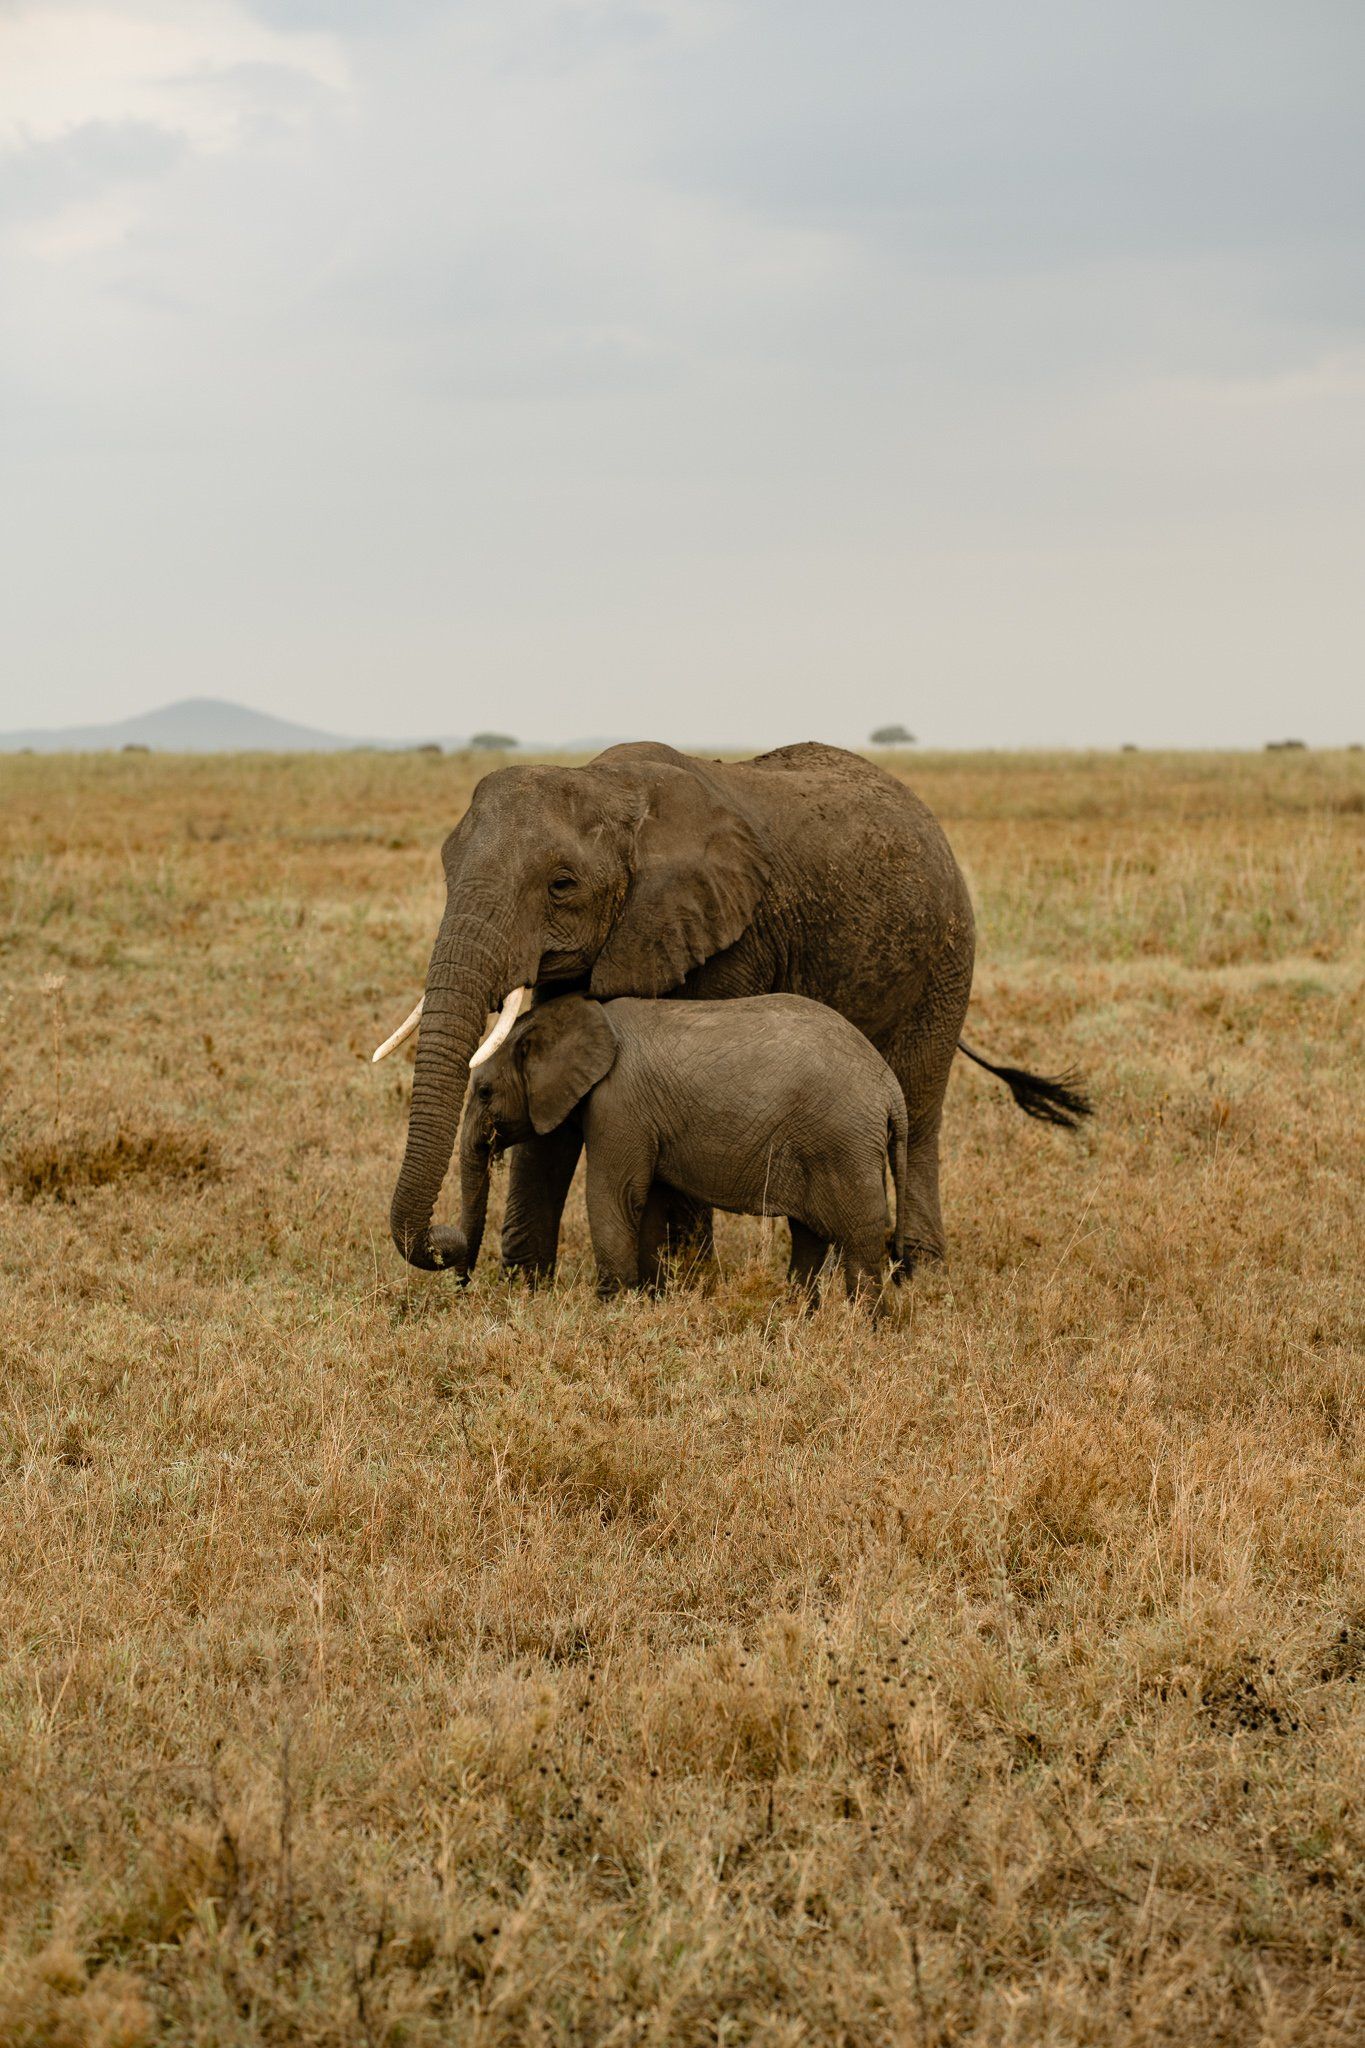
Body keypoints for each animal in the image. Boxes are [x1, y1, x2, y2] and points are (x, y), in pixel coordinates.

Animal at [445, 992, 911, 1304]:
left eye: (484, 1091)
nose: (462, 1283)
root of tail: (890, 1088)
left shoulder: (619, 1104)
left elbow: (613, 1197)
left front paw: (611, 1310)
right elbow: (650, 1203)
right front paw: (650, 1302)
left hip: (843, 1142)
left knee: (861, 1239)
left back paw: (867, 1329)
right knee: (809, 1235)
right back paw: (797, 1316)